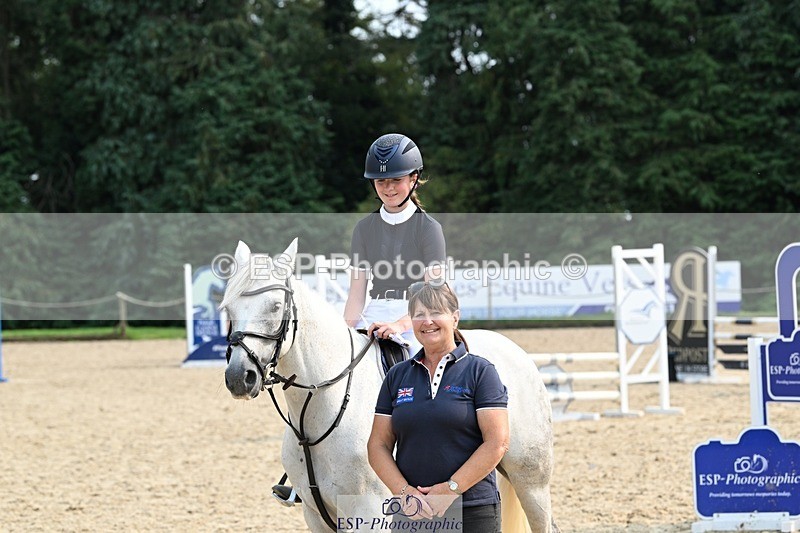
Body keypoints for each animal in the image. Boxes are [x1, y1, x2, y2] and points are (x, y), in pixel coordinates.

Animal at [221, 239, 556, 533]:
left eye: (275, 306)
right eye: (228, 309)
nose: (239, 378)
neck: (318, 416)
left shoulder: (370, 513)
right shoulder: (316, 516)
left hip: (531, 480)